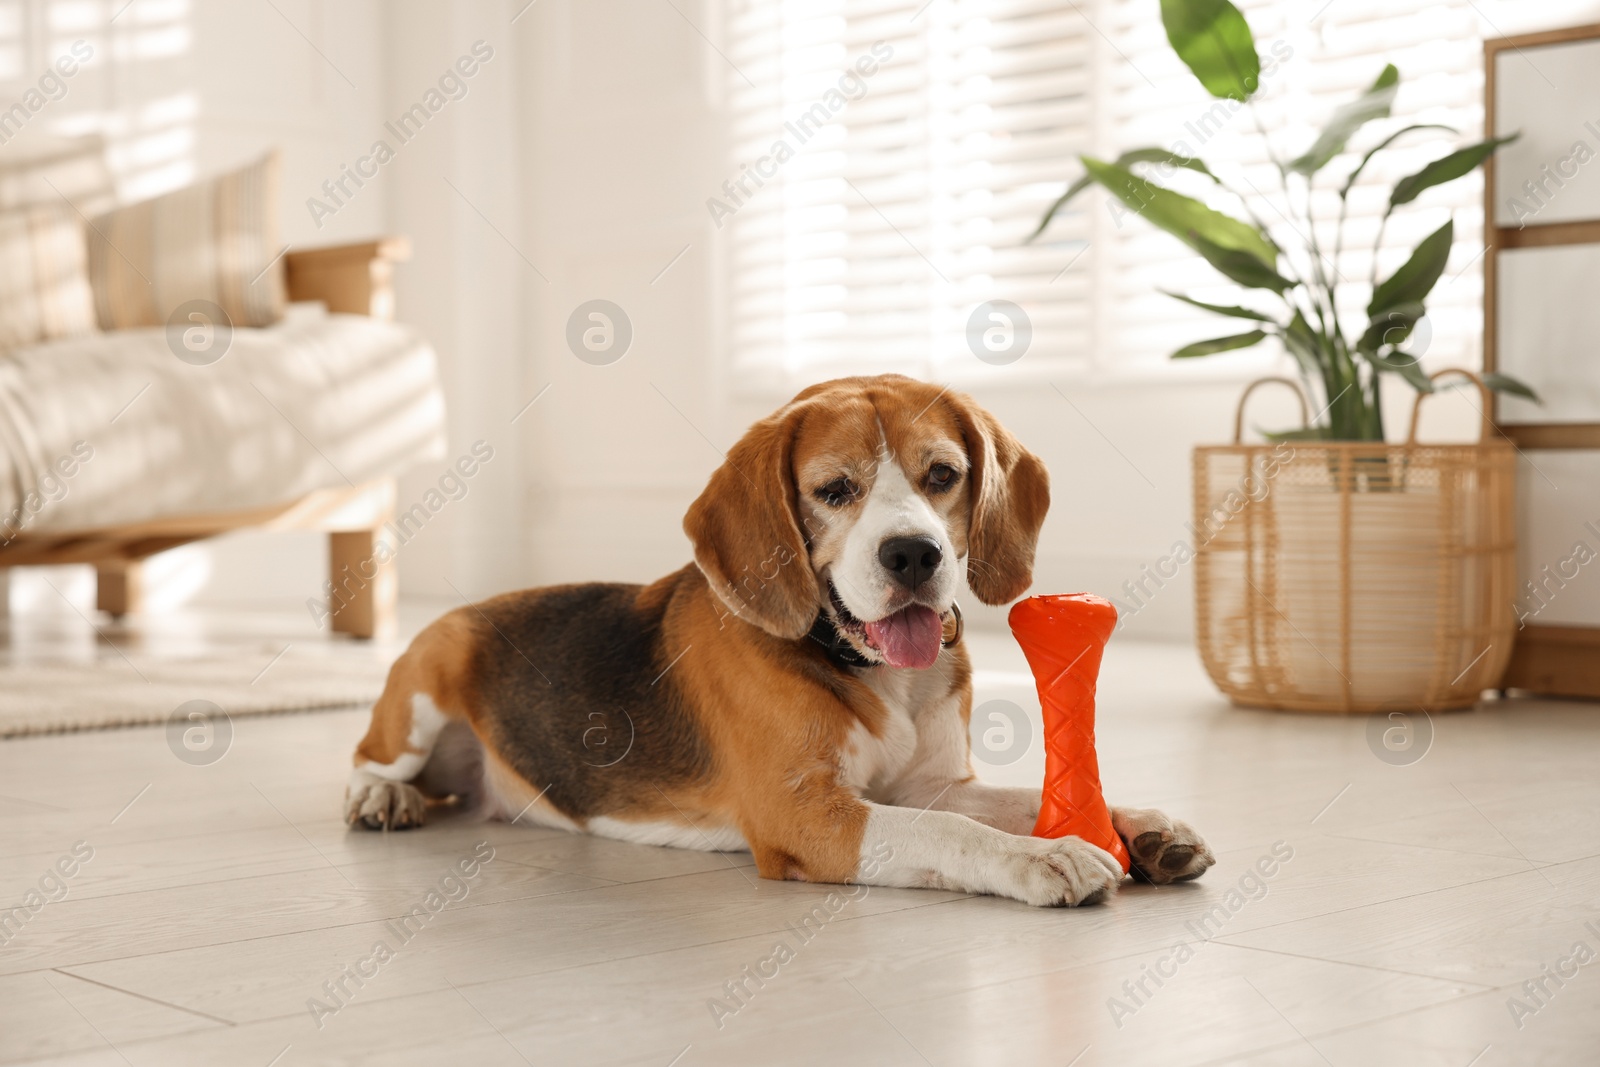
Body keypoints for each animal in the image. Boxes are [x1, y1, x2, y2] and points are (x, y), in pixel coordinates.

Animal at [340, 371, 1209, 908]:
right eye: (834, 489)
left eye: (943, 474)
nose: (913, 554)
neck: (867, 665)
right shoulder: (808, 815)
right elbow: (953, 831)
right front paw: (1045, 856)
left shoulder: (934, 783)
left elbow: (1020, 799)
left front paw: (1143, 825)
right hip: (430, 674)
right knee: (367, 756)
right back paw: (381, 796)